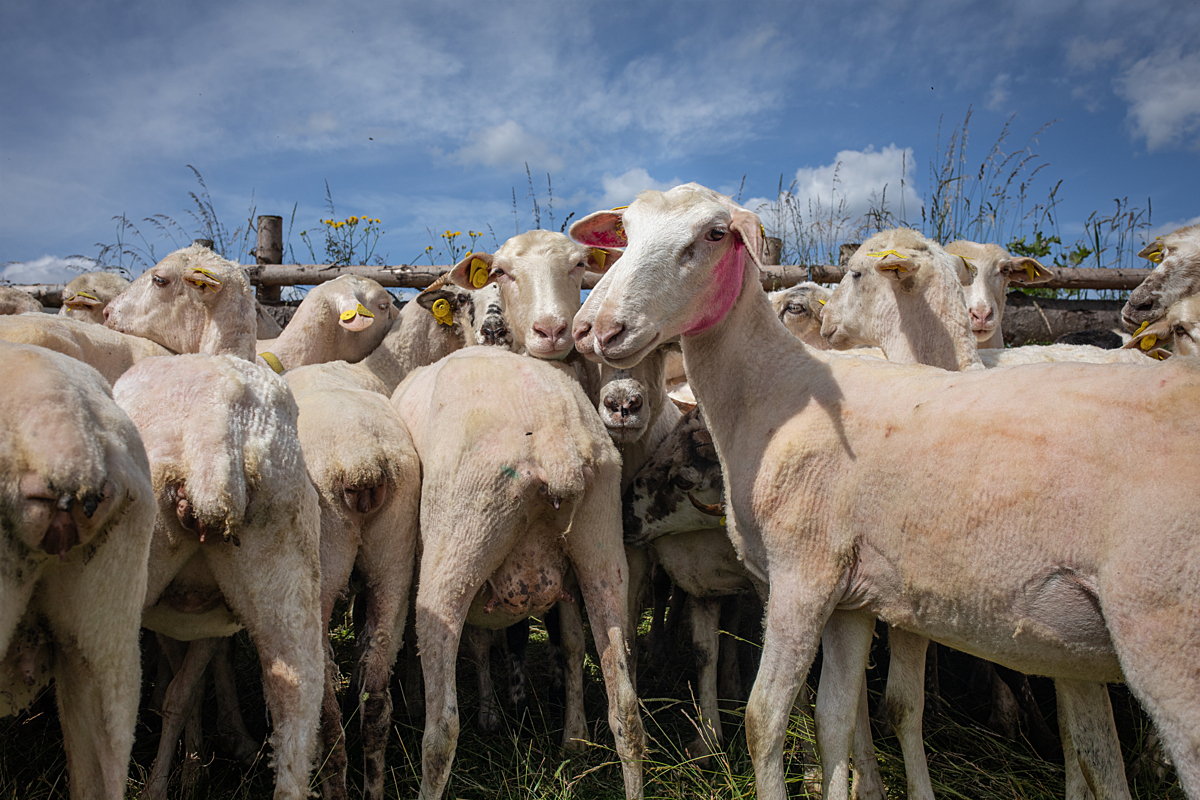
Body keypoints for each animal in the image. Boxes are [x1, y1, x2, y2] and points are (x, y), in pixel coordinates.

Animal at [571, 183, 1200, 800]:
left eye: (715, 234)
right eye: (626, 232)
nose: (600, 329)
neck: (773, 392)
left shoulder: (803, 575)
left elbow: (764, 721)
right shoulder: (852, 600)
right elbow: (835, 720)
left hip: (1166, 639)